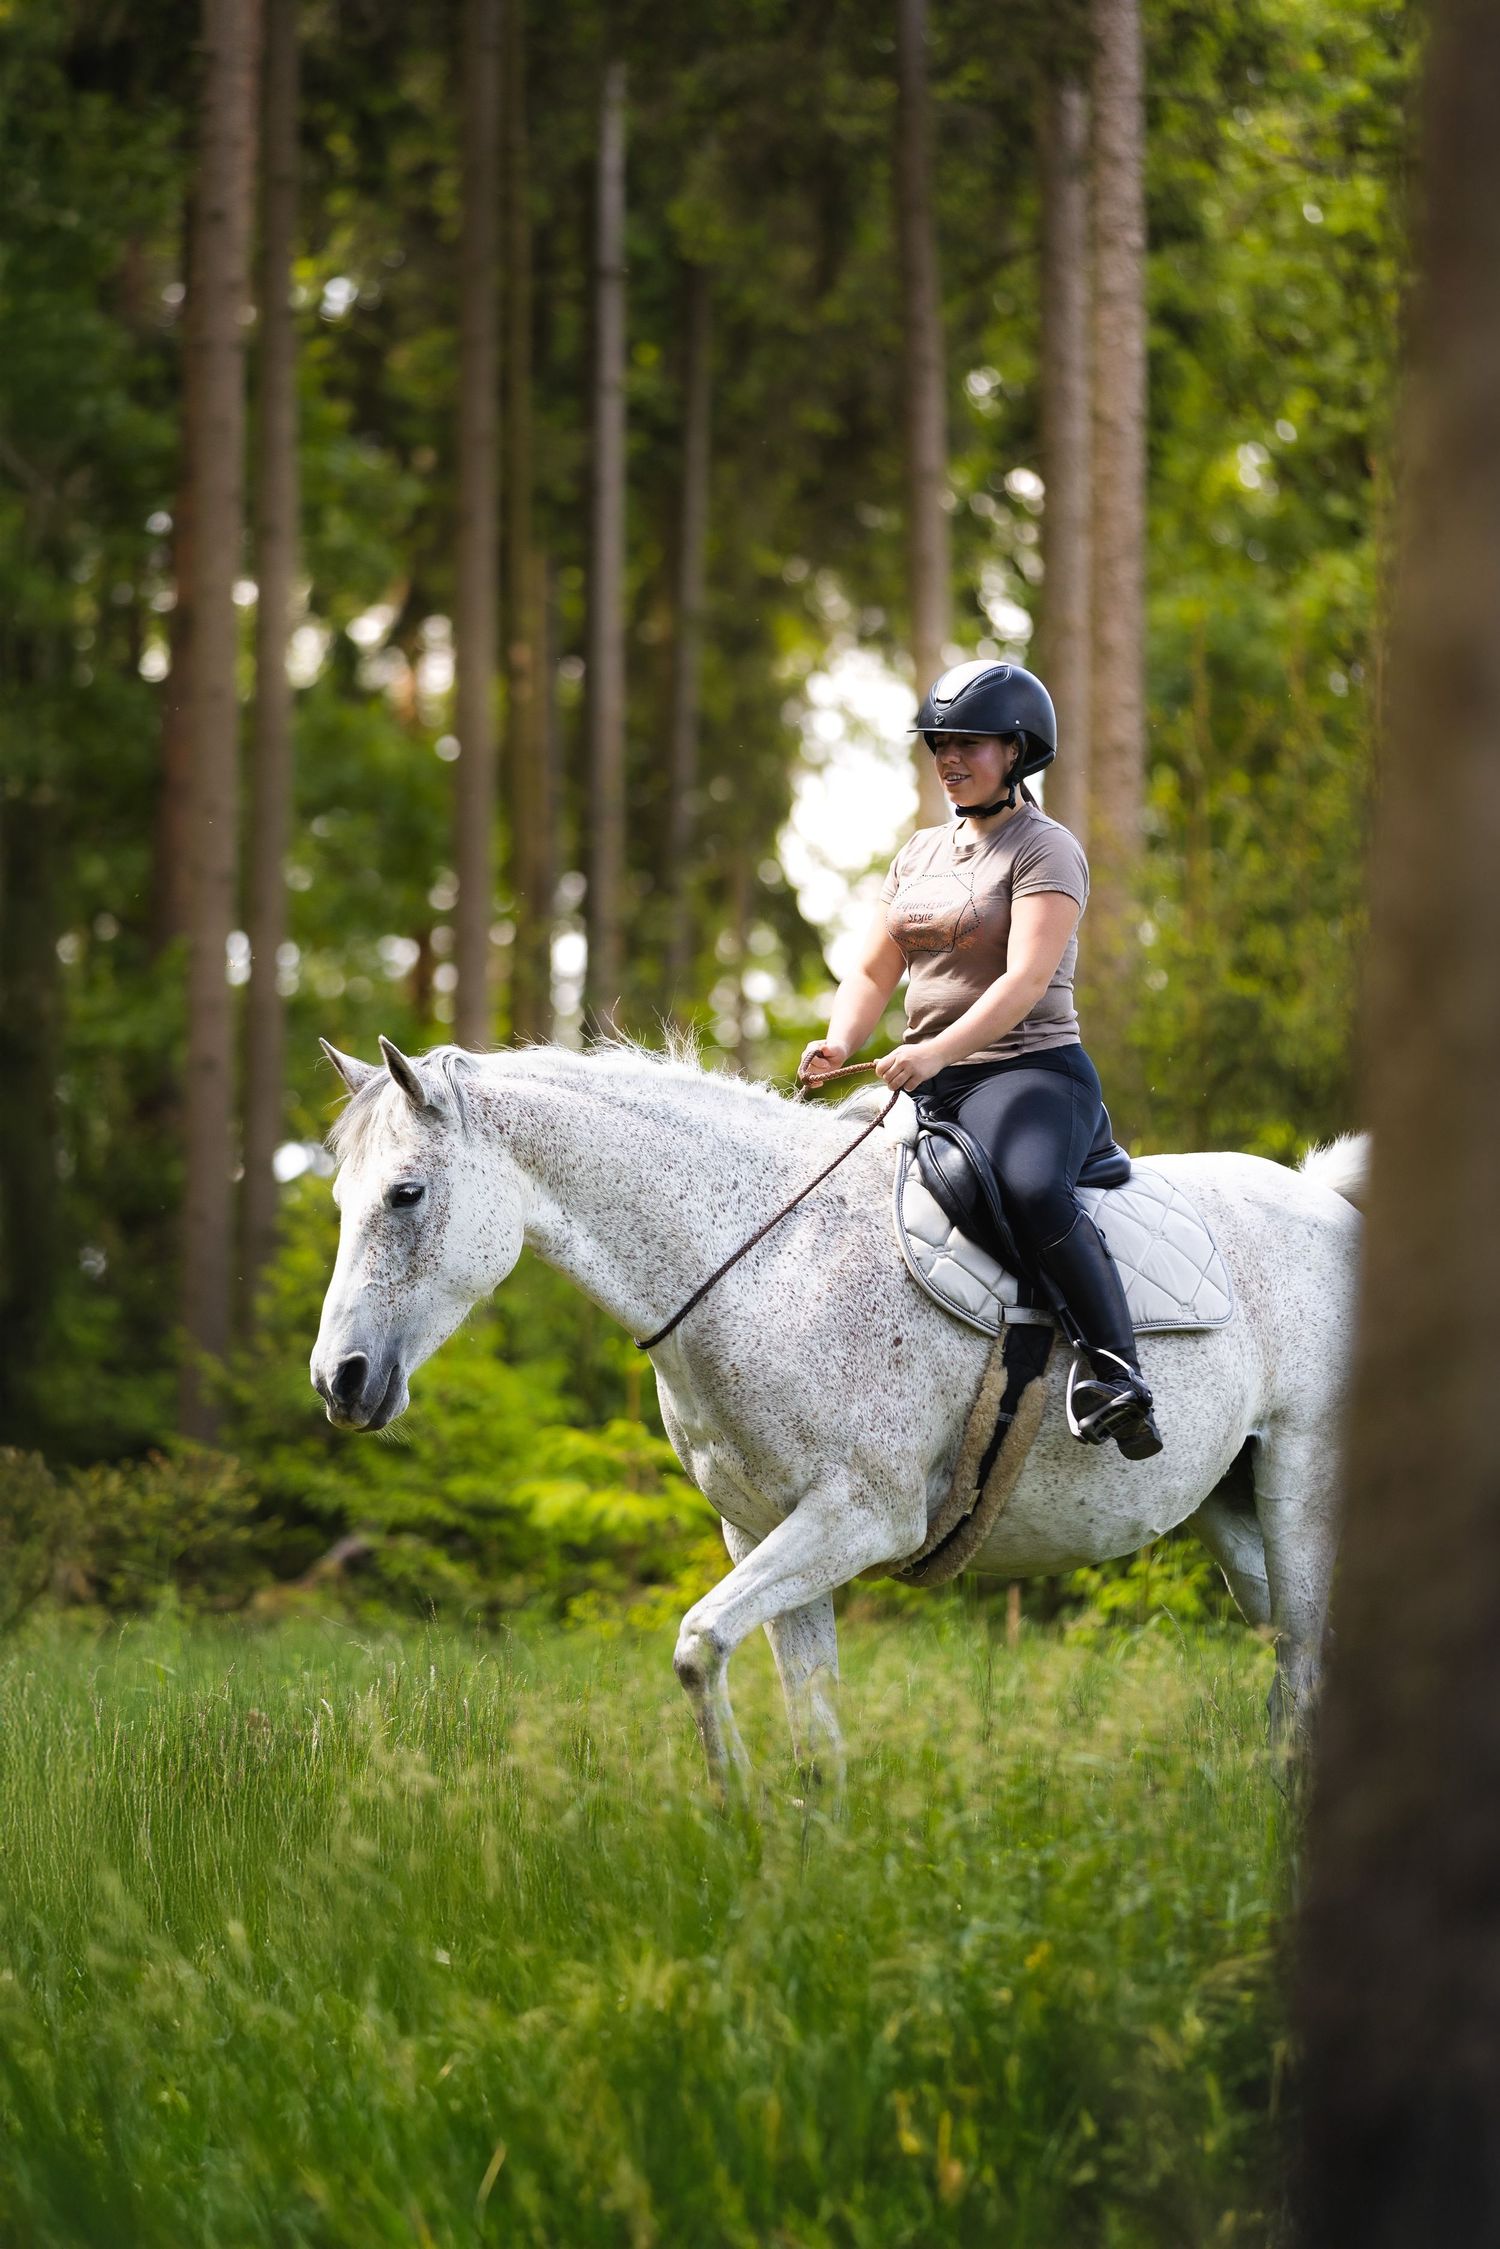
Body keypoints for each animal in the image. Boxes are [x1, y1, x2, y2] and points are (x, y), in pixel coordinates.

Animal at [310, 1035, 1363, 1790]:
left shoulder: (858, 1517)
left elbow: (698, 1643)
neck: (765, 1257)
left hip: (1301, 1488)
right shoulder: (761, 1533)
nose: (339, 1380)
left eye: (406, 1193)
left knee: (1310, 1673)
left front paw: (732, 1805)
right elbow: (810, 1736)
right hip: (1233, 1512)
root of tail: (1325, 1201)